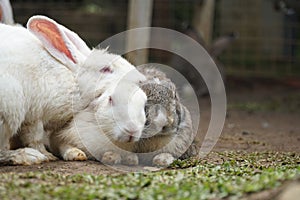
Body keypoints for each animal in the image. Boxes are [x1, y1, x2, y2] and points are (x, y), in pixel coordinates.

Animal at [0, 15, 143, 165]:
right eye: (106, 69)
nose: (140, 78)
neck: (74, 79)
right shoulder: (35, 115)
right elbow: (35, 137)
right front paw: (46, 155)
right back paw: (27, 156)